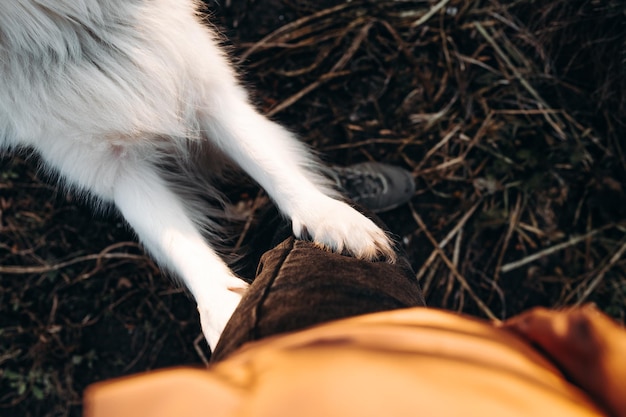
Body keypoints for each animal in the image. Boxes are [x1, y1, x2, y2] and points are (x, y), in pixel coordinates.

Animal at [0, 0, 392, 350]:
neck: (75, 35)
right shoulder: (110, 166)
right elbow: (175, 238)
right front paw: (228, 313)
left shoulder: (206, 89)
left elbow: (265, 159)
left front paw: (331, 220)